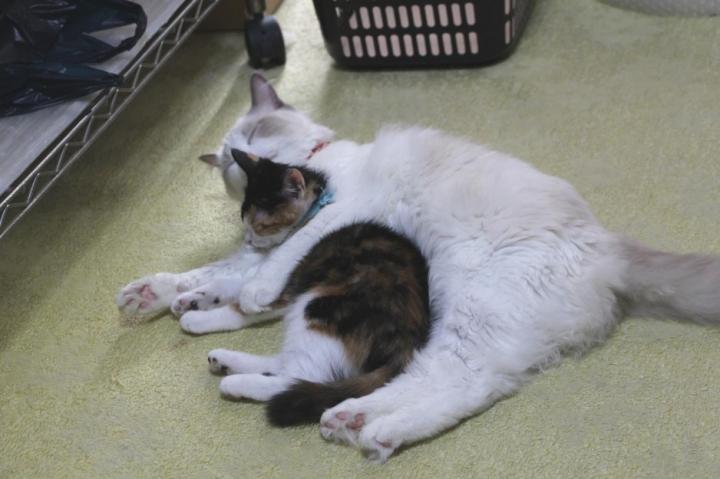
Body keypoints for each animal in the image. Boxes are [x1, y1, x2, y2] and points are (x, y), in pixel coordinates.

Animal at [207, 150, 432, 427]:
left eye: (260, 226)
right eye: (244, 222)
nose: (248, 240)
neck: (316, 209)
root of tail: (408, 343)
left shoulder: (290, 286)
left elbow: (241, 303)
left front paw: (193, 318)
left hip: (315, 307)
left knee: (299, 375)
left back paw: (236, 382)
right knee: (284, 365)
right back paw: (224, 361)